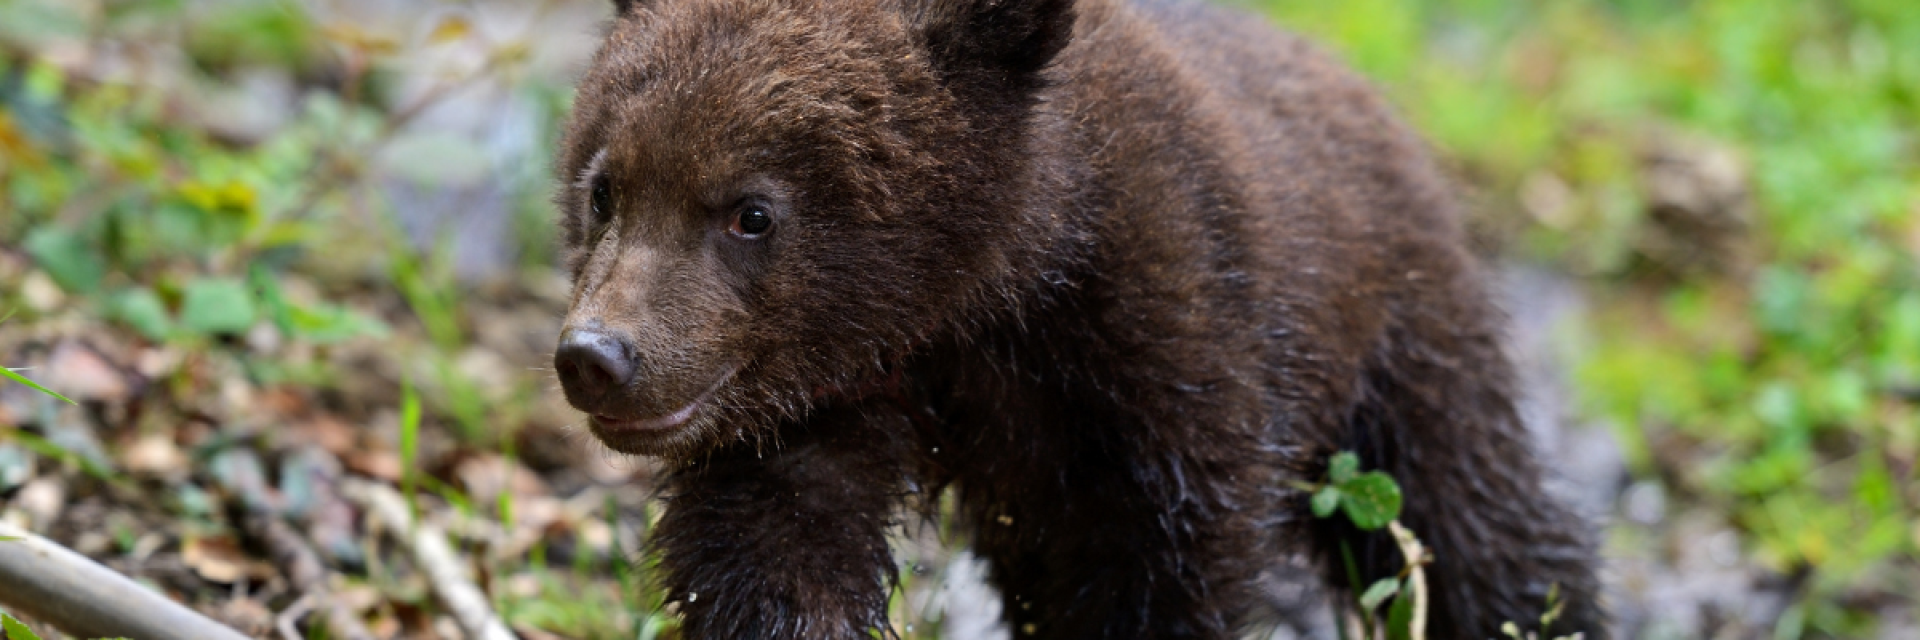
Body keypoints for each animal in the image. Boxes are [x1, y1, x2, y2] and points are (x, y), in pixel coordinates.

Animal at [549, 0, 1606, 637]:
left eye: (752, 212)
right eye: (605, 188)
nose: (598, 355)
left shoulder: (1161, 335)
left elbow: (1164, 558)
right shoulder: (814, 405)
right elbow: (773, 541)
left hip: (1396, 331)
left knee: (1467, 512)